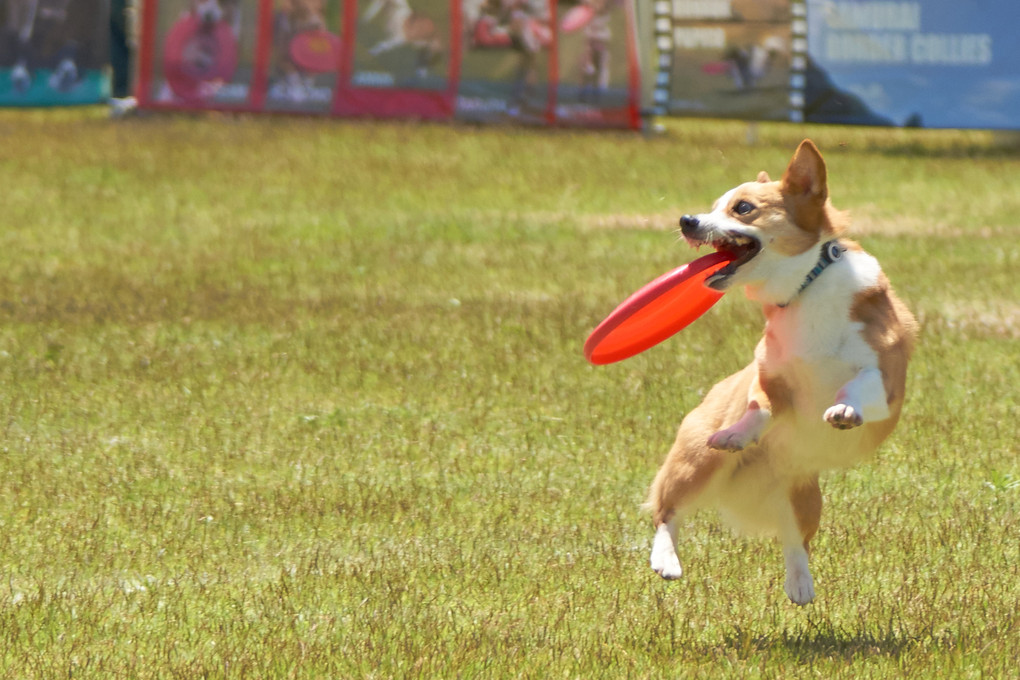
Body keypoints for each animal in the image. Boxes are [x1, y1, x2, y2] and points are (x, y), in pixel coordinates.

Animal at [648, 139, 922, 607]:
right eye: (712, 206)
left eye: (742, 208)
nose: (686, 221)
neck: (805, 287)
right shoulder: (770, 378)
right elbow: (759, 406)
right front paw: (737, 434)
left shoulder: (885, 376)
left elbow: (857, 384)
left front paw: (844, 411)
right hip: (695, 461)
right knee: (668, 512)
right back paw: (666, 560)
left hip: (805, 496)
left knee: (796, 541)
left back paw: (800, 584)